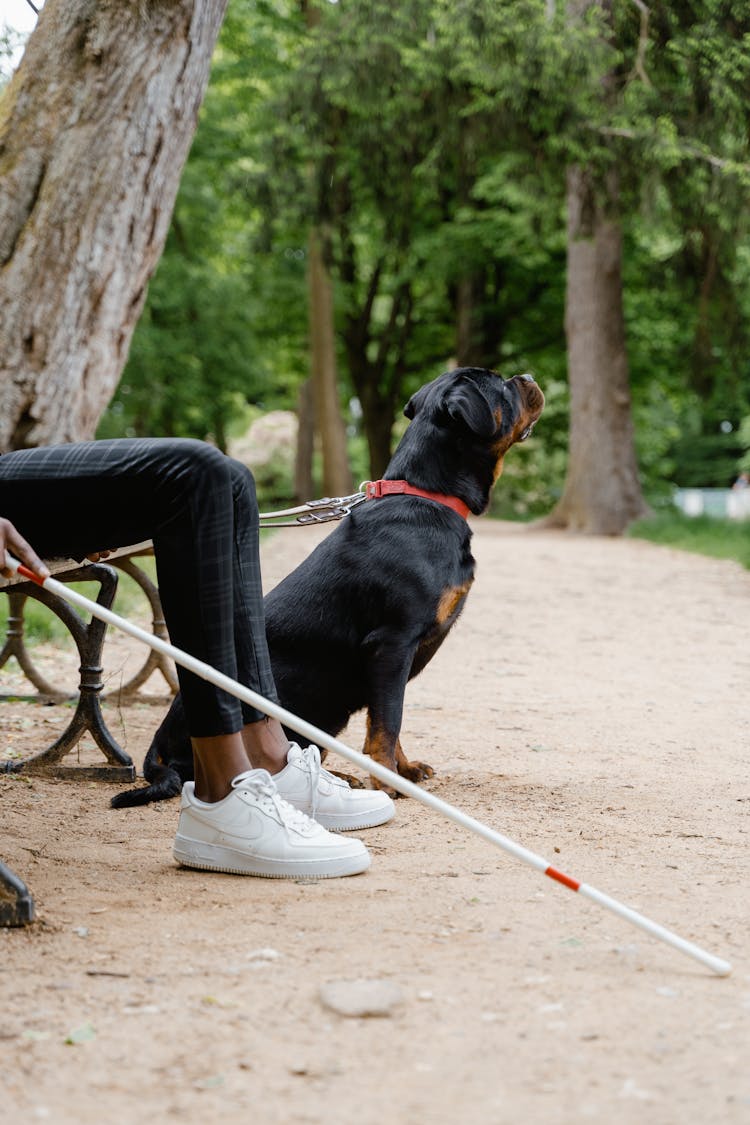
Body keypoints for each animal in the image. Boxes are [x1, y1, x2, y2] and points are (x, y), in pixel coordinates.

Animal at [111, 364, 541, 805]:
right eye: (500, 384)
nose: (526, 375)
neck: (428, 497)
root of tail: (158, 744)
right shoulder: (392, 644)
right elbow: (388, 723)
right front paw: (388, 779)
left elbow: (388, 720)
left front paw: (404, 770)